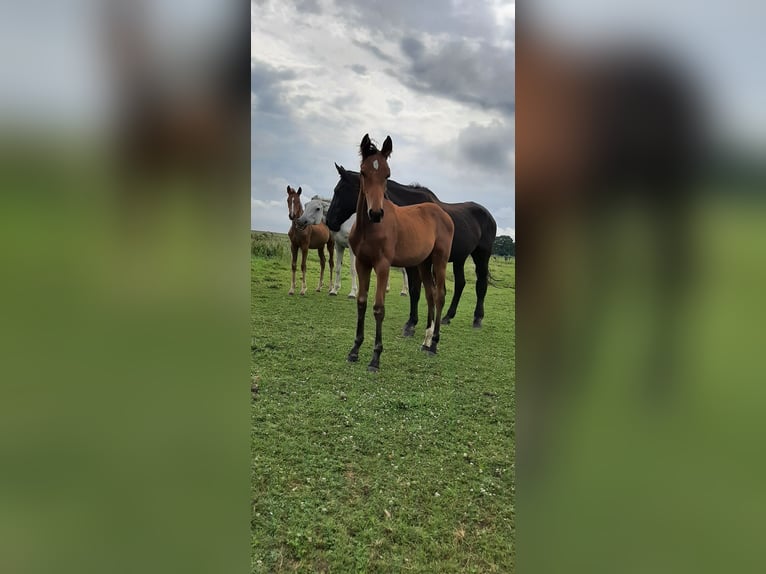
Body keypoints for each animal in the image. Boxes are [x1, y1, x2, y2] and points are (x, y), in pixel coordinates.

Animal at [350, 133, 456, 374]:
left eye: (387, 174)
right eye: (363, 172)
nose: (376, 213)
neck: (368, 228)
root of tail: (443, 214)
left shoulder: (382, 265)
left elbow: (378, 308)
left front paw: (375, 358)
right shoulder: (362, 263)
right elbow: (361, 302)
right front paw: (354, 350)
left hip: (440, 259)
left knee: (441, 294)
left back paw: (434, 344)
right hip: (424, 263)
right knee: (430, 294)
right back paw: (426, 341)